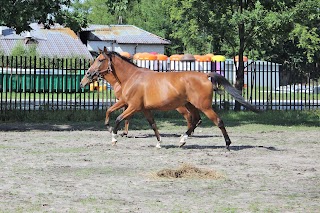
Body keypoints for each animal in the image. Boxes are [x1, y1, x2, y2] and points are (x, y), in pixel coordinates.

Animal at [80, 47, 260, 150]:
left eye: (100, 60)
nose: (88, 74)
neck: (132, 77)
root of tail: (205, 75)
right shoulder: (142, 108)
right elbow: (151, 124)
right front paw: (159, 143)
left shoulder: (133, 106)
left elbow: (118, 118)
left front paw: (114, 138)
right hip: (191, 105)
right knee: (195, 120)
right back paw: (182, 141)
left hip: (204, 106)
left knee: (217, 121)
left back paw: (228, 144)